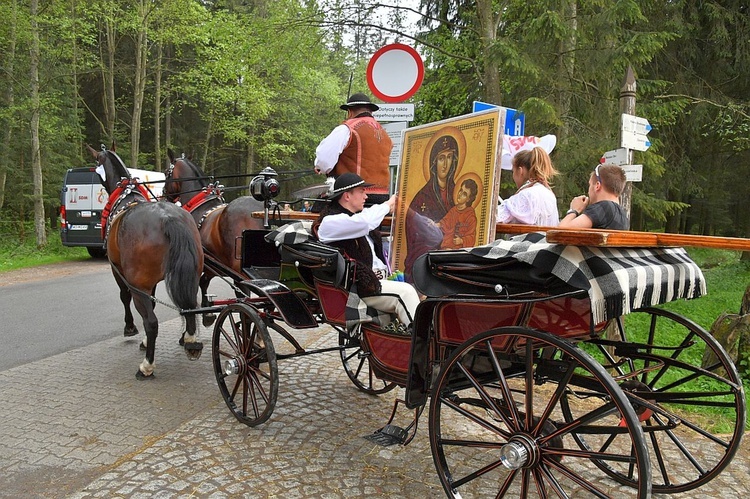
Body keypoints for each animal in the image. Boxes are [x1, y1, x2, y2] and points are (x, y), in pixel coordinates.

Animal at [88, 144, 206, 378]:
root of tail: (169, 219)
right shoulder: (150, 283)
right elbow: (152, 302)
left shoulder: (119, 272)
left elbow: (125, 298)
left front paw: (130, 328)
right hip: (191, 276)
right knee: (190, 307)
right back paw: (190, 341)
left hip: (137, 284)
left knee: (151, 322)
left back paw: (147, 366)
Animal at [164, 152, 264, 324]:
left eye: (166, 173)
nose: (163, 193)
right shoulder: (214, 266)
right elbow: (204, 282)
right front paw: (208, 312)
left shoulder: (203, 264)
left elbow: (199, 284)